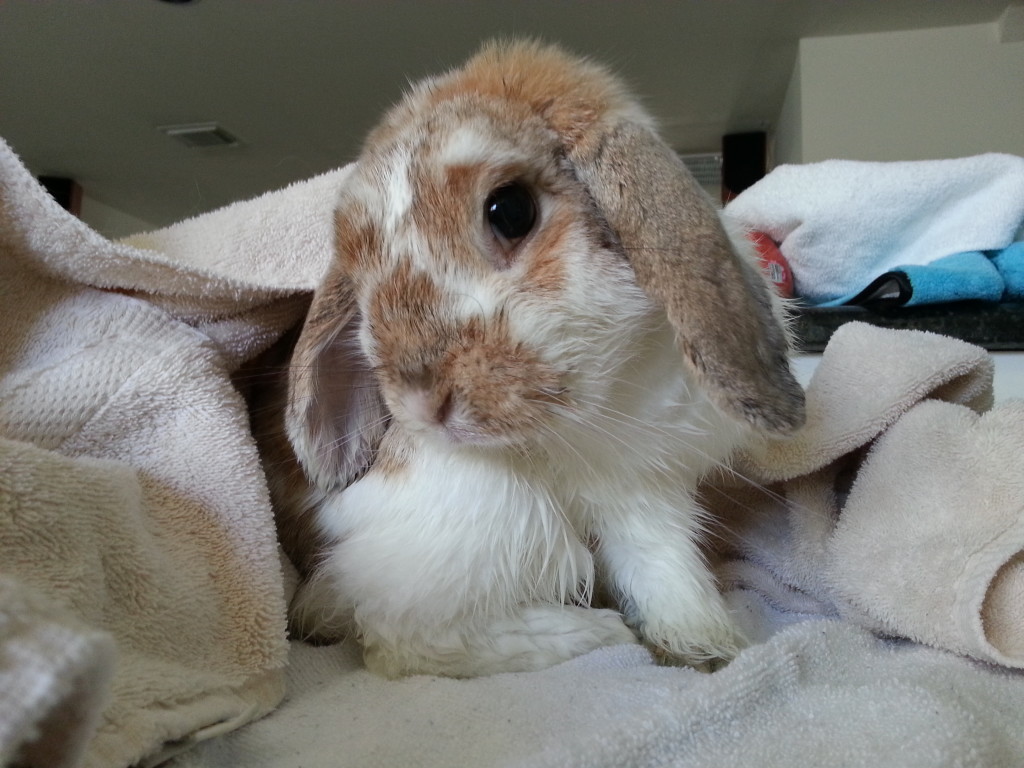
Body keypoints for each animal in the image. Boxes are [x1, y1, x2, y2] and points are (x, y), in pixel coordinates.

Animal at [272, 40, 806, 679]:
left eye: (510, 210)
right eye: (359, 271)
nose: (423, 404)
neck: (585, 418)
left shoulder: (645, 490)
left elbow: (664, 567)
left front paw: (707, 646)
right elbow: (408, 635)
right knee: (400, 640)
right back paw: (591, 631)